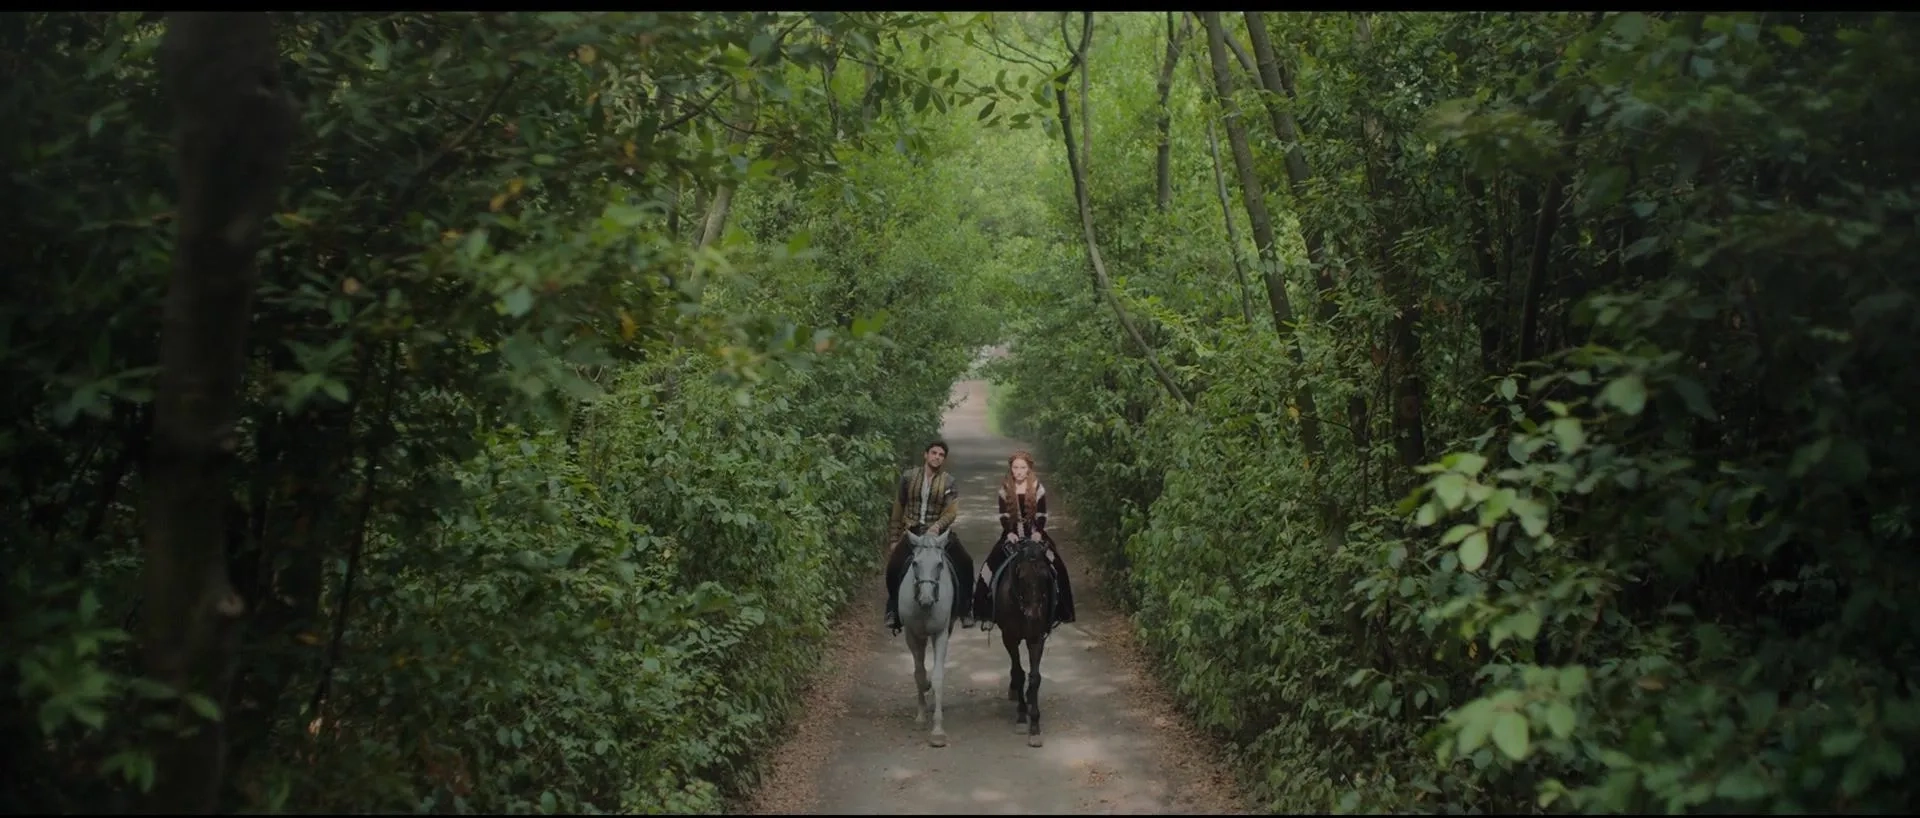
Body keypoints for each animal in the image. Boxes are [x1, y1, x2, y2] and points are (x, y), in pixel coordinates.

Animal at [898, 522, 960, 748]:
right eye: (915, 563)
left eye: (939, 565)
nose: (926, 599)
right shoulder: (911, 634)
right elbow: (918, 673)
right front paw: (921, 716)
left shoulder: (940, 633)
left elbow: (938, 677)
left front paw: (938, 731)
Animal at [990, 533, 1067, 745]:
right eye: (1020, 575)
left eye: (1045, 576)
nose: (1033, 615)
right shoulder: (1009, 637)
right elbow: (1019, 673)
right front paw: (1022, 717)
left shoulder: (1036, 638)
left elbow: (1034, 678)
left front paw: (1035, 725)